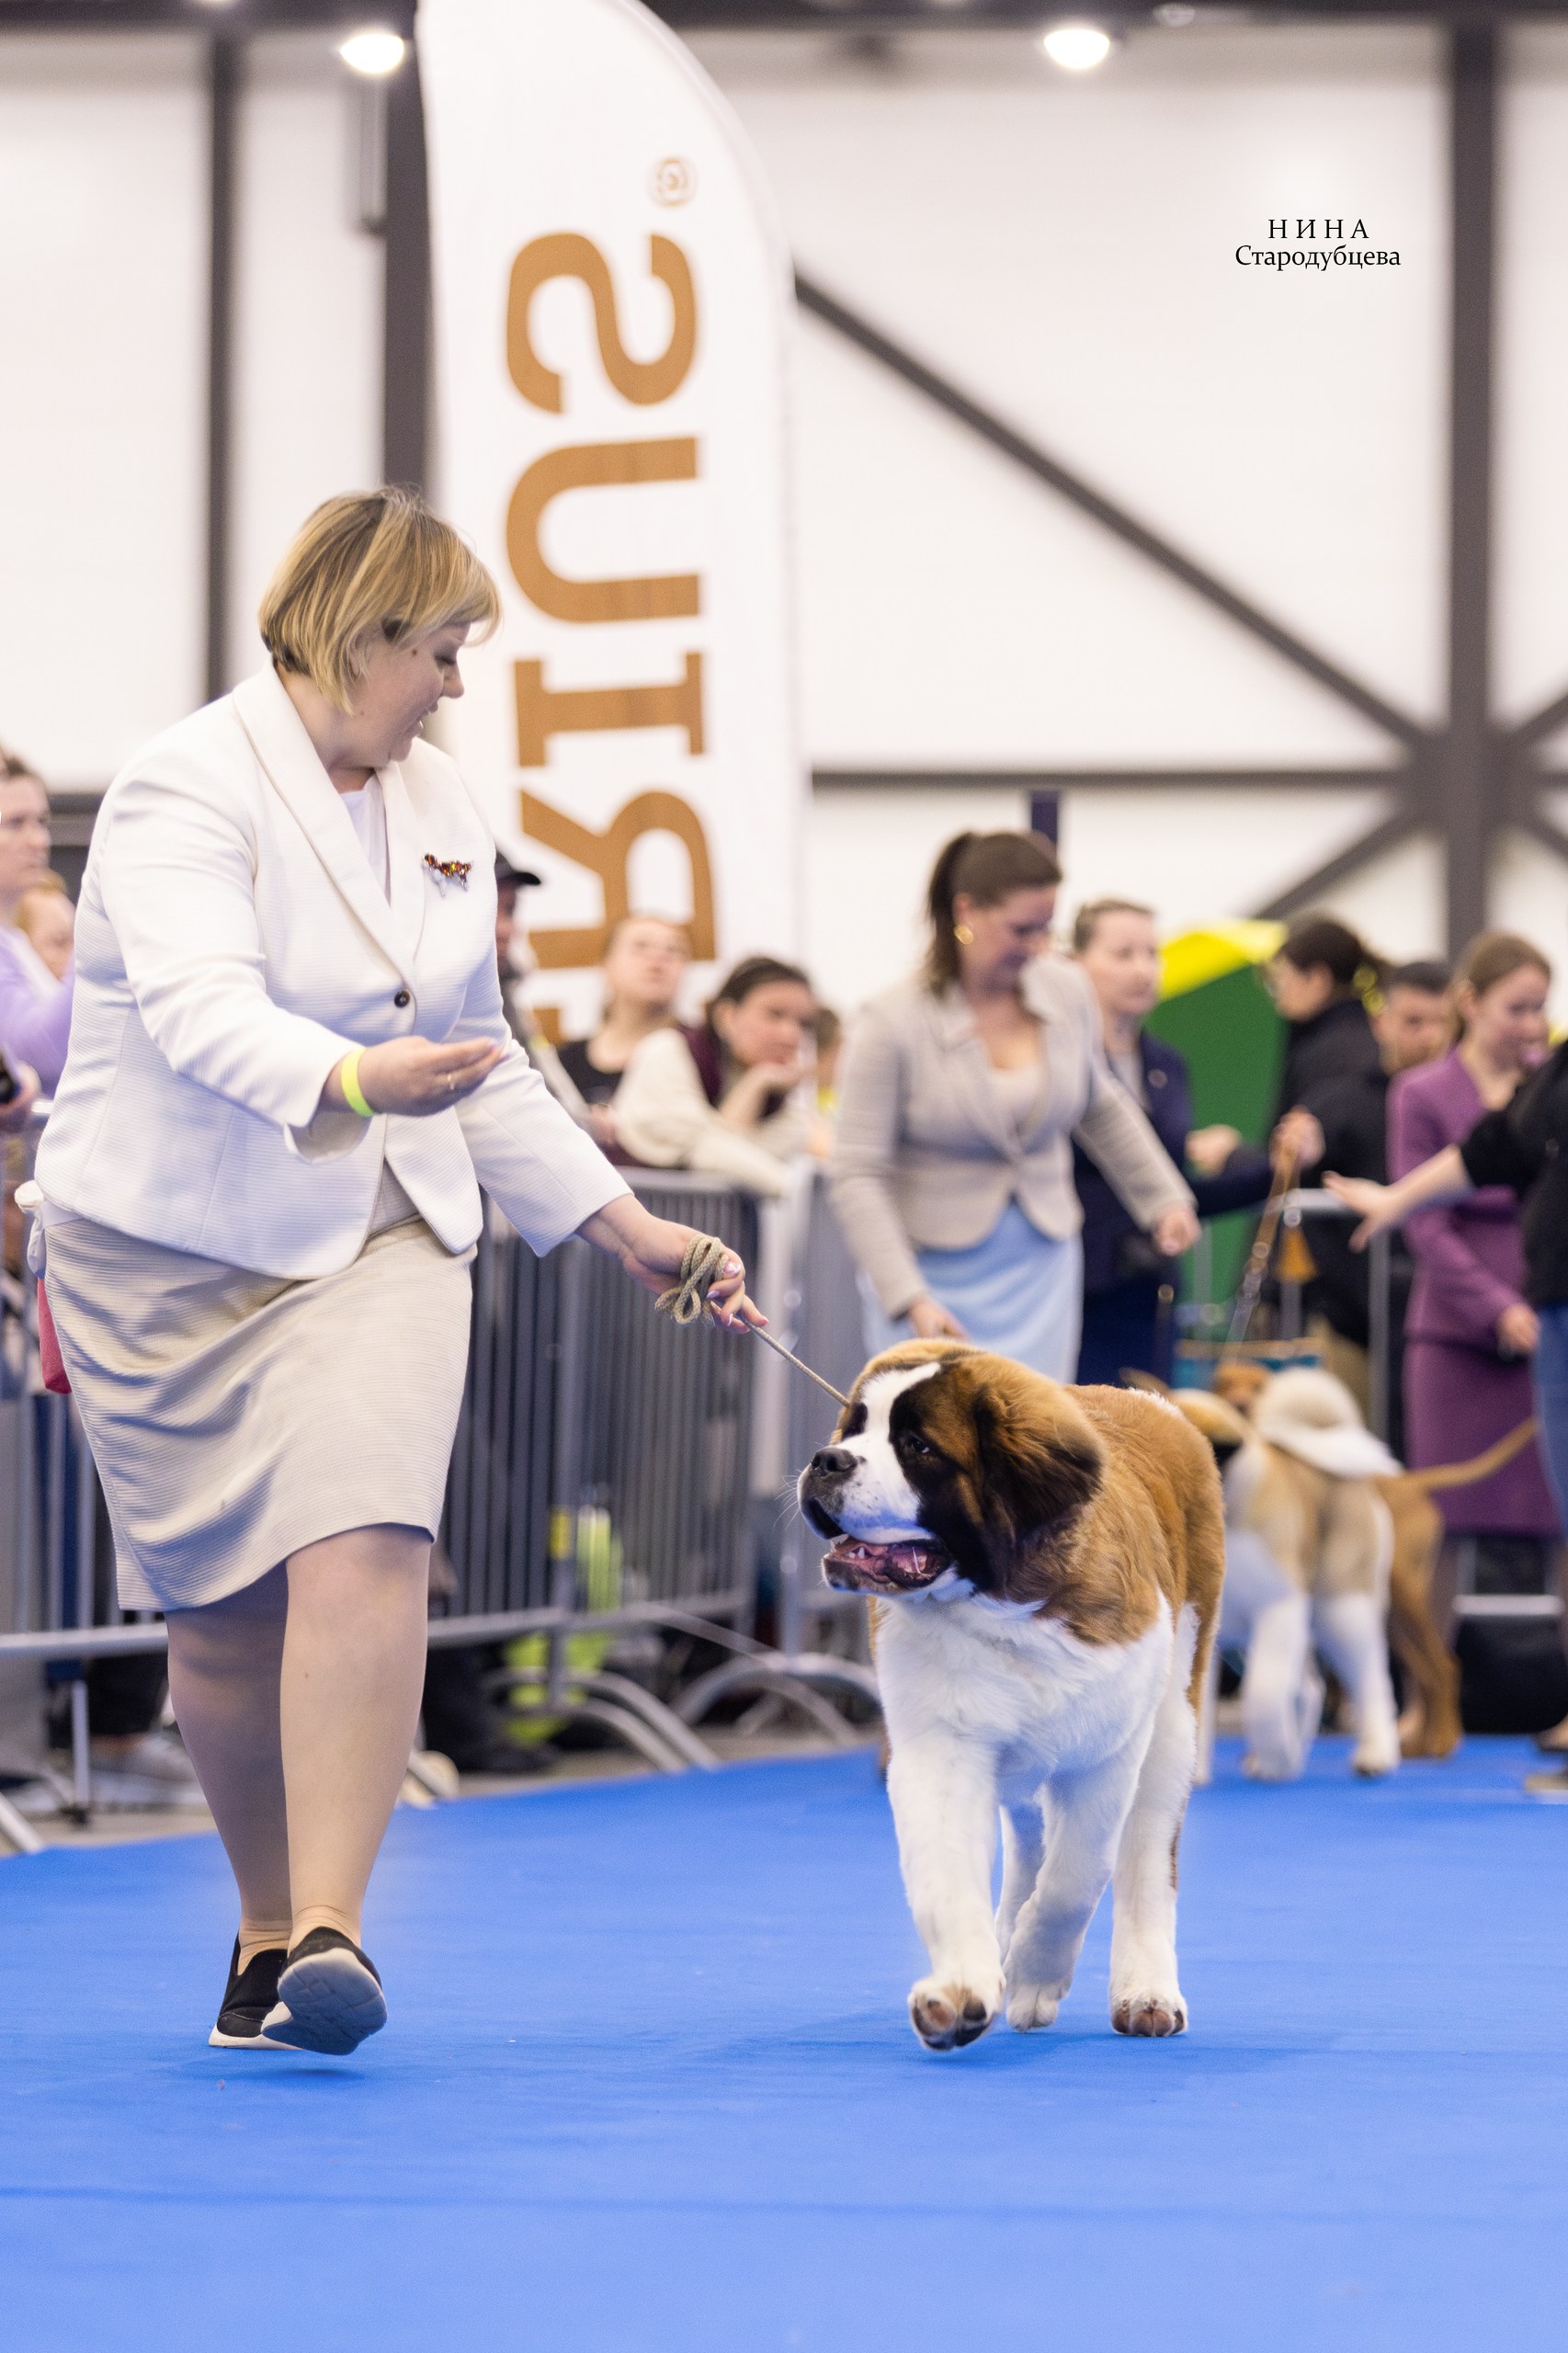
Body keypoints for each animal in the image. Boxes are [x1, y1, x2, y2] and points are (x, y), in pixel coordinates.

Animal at [796, 1341, 1225, 2052]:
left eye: (916, 1446)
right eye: (853, 1429)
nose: (826, 1460)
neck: (1008, 1606)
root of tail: (1148, 1403)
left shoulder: (1107, 1757)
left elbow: (1075, 1879)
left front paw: (1032, 1975)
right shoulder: (941, 1751)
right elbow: (948, 1875)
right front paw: (962, 1992)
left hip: (1172, 1726)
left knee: (1144, 1858)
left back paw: (1146, 1992)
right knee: (1029, 1844)